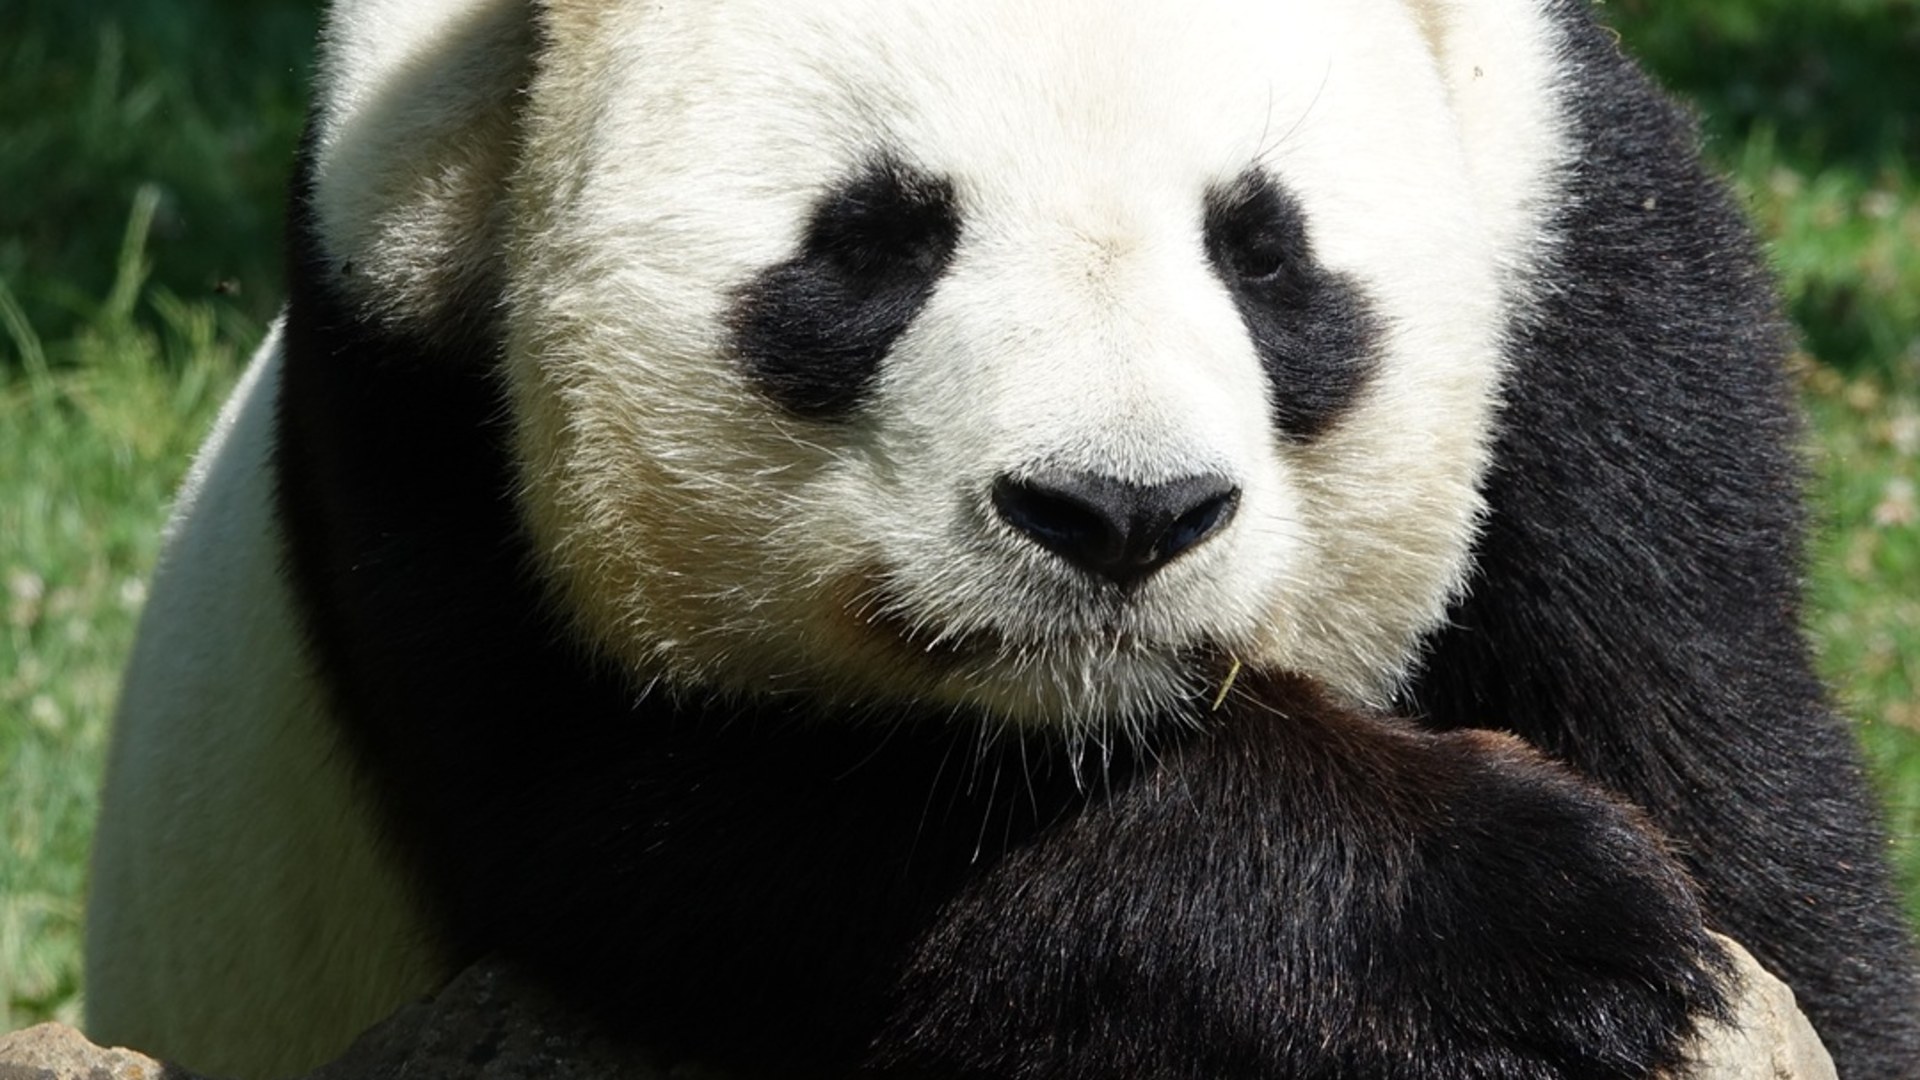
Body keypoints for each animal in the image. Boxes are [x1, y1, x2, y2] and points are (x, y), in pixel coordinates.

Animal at [84, 0, 1920, 1077]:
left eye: (1264, 250)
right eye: (877, 240)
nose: (1121, 515)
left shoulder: (1592, 289)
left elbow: (1745, 792)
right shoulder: (415, 383)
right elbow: (696, 823)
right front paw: (1529, 924)